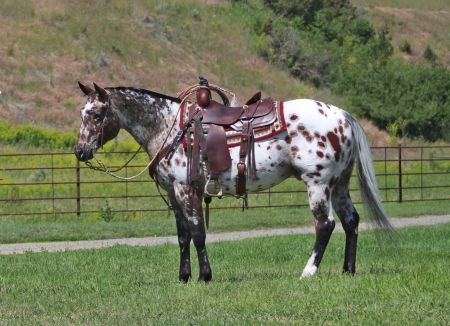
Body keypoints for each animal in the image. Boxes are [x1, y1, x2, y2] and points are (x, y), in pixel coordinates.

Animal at [75, 81, 392, 280]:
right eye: (82, 113)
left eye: (97, 114)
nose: (80, 151)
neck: (168, 128)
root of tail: (343, 116)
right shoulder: (175, 194)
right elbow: (182, 236)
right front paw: (183, 276)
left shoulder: (185, 190)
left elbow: (197, 232)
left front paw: (205, 276)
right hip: (339, 184)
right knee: (351, 221)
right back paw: (347, 270)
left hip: (318, 184)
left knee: (325, 225)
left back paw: (308, 272)